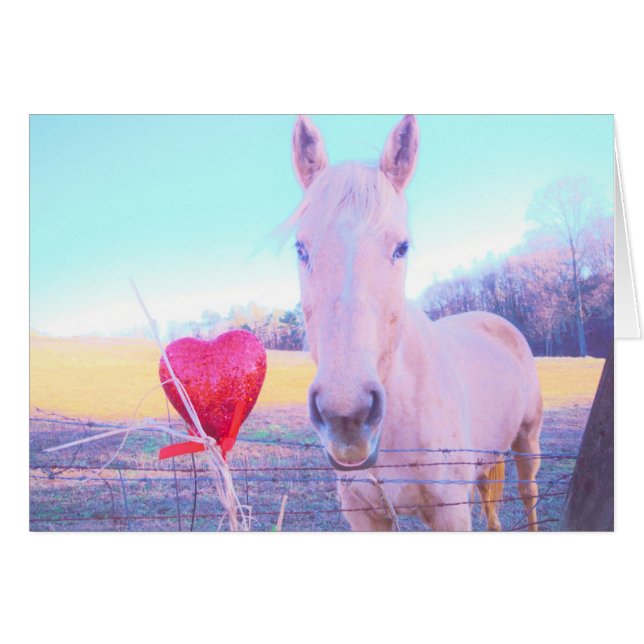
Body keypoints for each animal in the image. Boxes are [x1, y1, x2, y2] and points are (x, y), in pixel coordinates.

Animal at [282, 115, 543, 531]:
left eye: (402, 247)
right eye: (301, 248)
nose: (346, 416)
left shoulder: (451, 511)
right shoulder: (365, 515)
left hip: (527, 441)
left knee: (528, 492)